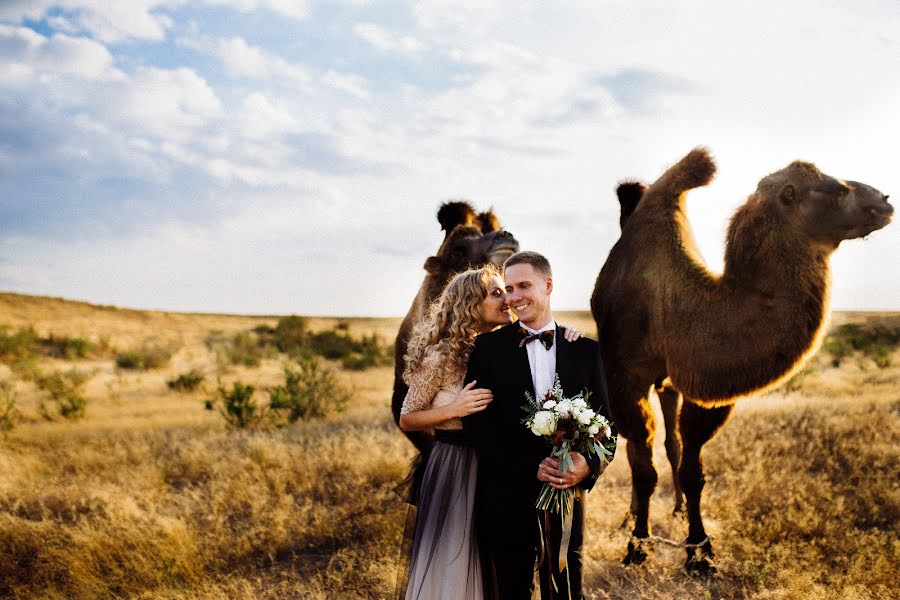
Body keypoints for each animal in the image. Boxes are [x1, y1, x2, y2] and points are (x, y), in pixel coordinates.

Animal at [592, 148, 892, 576]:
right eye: (838, 189)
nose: (884, 201)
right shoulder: (626, 375)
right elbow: (644, 468)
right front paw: (637, 547)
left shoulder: (705, 383)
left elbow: (692, 469)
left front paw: (700, 552)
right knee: (639, 451)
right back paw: (632, 518)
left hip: (670, 385)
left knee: (671, 443)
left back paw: (676, 510)